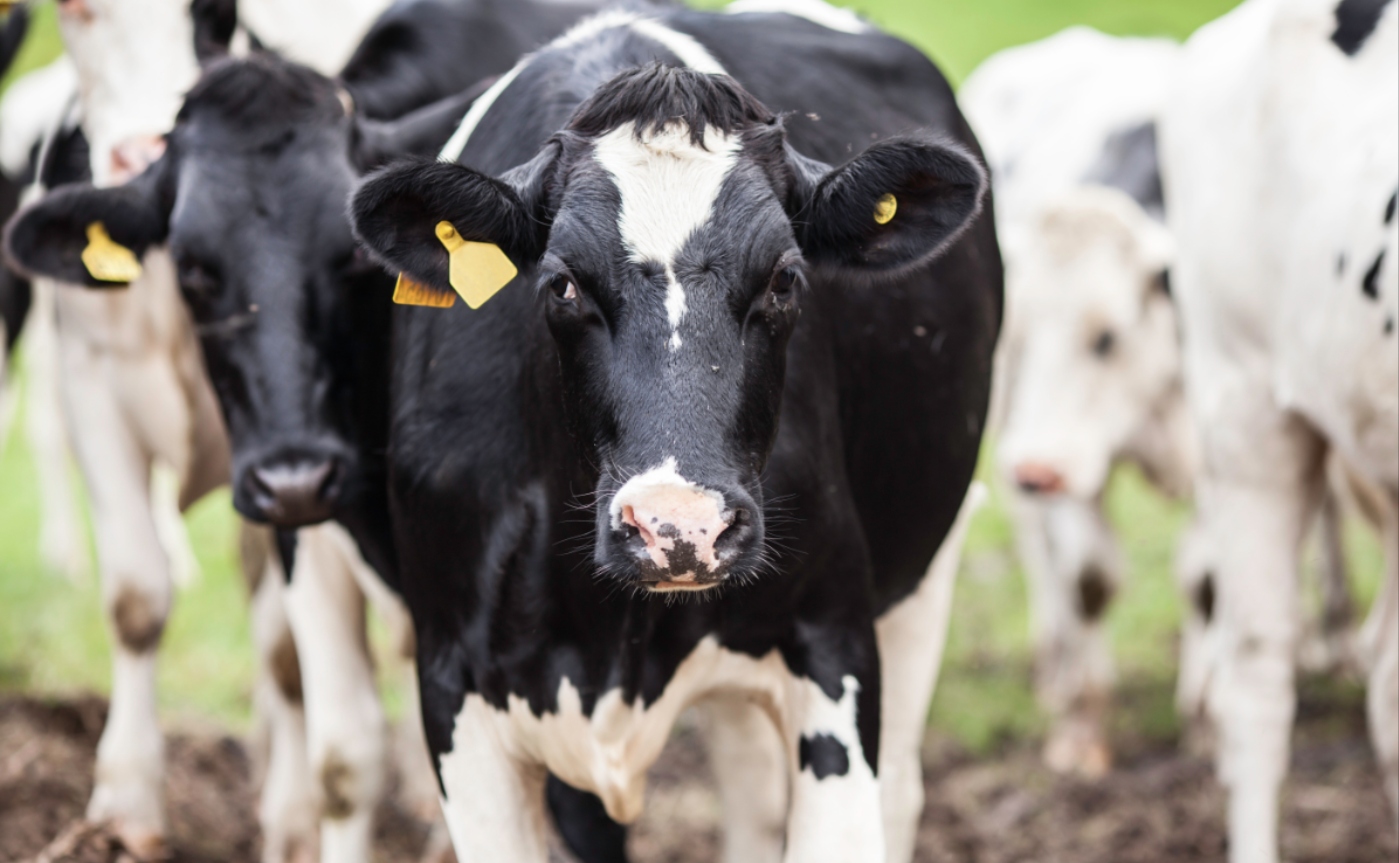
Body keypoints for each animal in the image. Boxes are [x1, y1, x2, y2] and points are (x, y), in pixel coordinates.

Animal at [346, 6, 1007, 861]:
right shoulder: (452, 679)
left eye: (784, 278)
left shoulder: (834, 641)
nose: (678, 529)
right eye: (561, 283)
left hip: (927, 564)